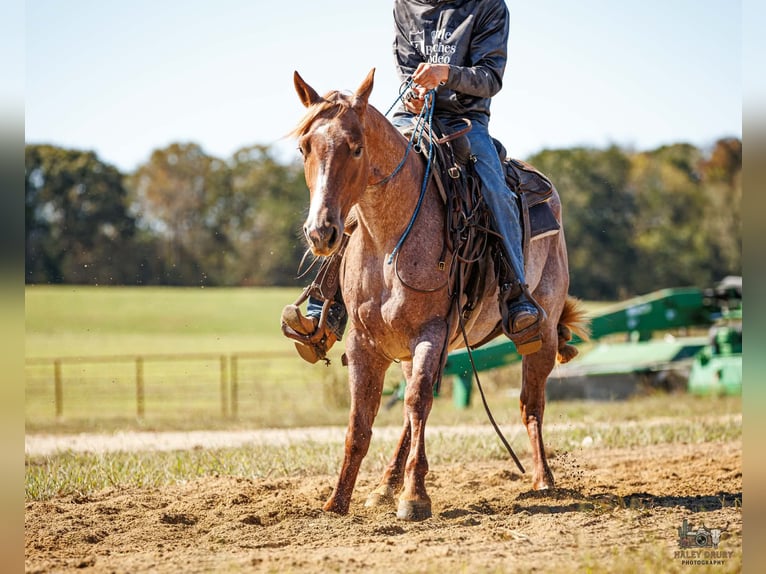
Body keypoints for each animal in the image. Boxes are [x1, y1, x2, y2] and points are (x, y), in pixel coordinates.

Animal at [290, 68, 588, 521]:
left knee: (529, 404)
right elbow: (361, 421)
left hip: (542, 333)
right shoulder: (364, 344)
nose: (322, 232)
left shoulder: (432, 334)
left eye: (356, 148)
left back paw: (543, 479)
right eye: (305, 147)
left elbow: (416, 404)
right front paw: (338, 500)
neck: (389, 242)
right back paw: (384, 487)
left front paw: (414, 496)